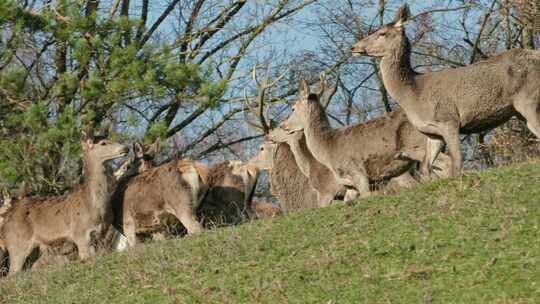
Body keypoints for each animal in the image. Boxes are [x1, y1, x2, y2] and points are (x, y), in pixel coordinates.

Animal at [0, 131, 128, 274]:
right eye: (103, 143)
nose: (126, 148)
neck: (94, 208)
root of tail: (6, 219)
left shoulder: (99, 235)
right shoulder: (80, 233)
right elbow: (86, 258)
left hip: (34, 250)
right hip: (17, 244)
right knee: (12, 273)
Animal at [350, 3, 540, 176]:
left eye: (381, 33)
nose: (353, 47)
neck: (412, 93)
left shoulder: (449, 119)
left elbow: (457, 161)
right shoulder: (432, 132)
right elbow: (425, 167)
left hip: (528, 99)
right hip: (519, 111)